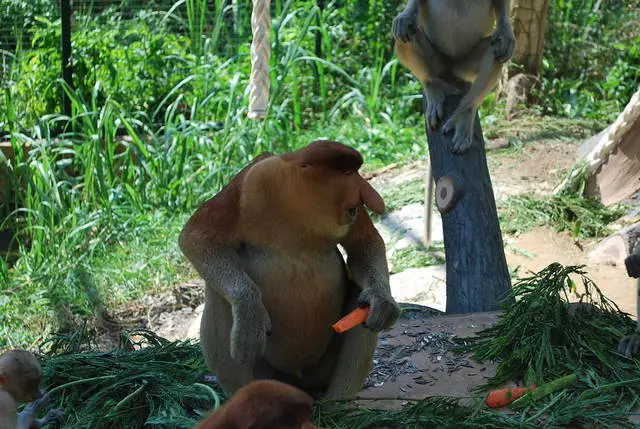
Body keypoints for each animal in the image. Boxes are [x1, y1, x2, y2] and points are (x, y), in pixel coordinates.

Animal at [180, 140, 400, 398]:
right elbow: (197, 236)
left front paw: (383, 302)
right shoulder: (249, 182)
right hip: (268, 372)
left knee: (360, 297)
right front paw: (249, 314)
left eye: (354, 171)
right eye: (348, 173)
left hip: (321, 371)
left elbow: (364, 243)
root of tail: (297, 379)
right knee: (219, 295)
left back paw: (337, 402)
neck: (299, 207)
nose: (372, 197)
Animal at [392, 0, 516, 154]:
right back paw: (433, 87)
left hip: (463, 67)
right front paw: (405, 15)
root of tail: (451, 65)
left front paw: (506, 33)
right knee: (406, 33)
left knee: (496, 48)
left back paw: (464, 115)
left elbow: (502, 39)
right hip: (438, 63)